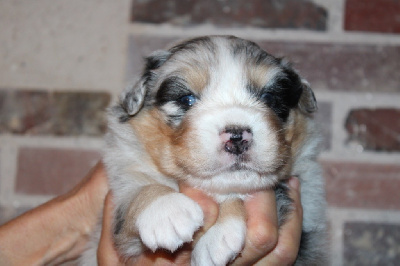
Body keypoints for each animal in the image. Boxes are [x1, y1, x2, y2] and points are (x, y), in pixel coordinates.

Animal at [80, 35, 324, 266]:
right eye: (186, 100)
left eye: (269, 98)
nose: (237, 137)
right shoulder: (122, 174)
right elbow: (137, 186)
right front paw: (167, 212)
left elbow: (242, 194)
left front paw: (216, 238)